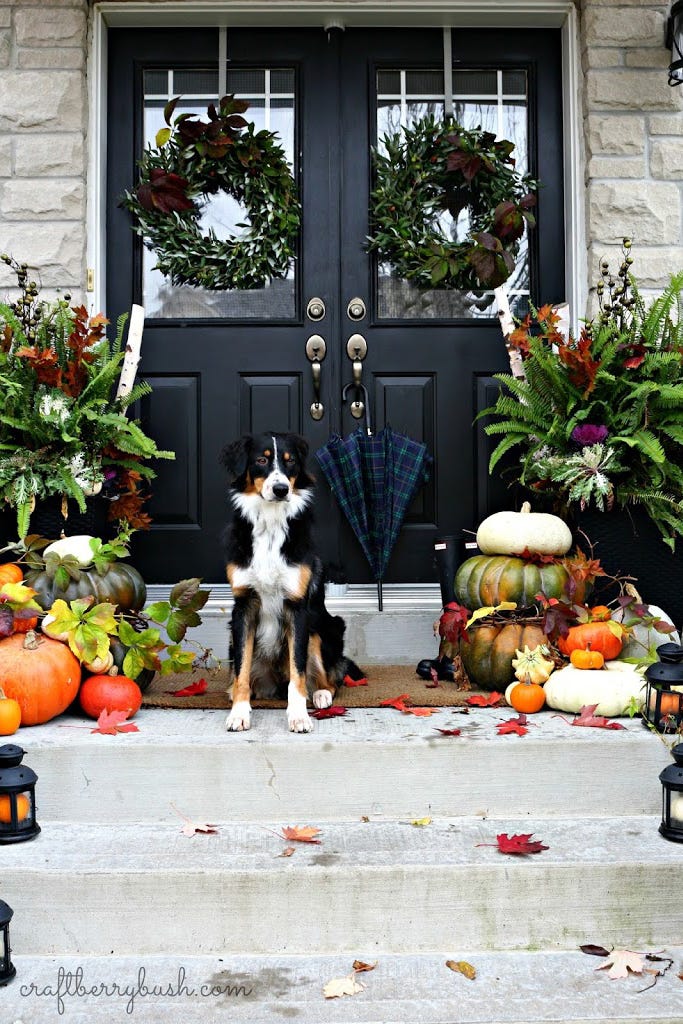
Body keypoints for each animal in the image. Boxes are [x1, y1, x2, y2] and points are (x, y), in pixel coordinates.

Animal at [222, 436, 366, 733]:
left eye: (290, 461)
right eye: (261, 460)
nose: (281, 489)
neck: (270, 524)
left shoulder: (297, 607)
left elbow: (298, 672)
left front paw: (299, 716)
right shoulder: (243, 607)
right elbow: (241, 670)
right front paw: (239, 713)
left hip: (325, 629)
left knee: (329, 679)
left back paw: (321, 695)